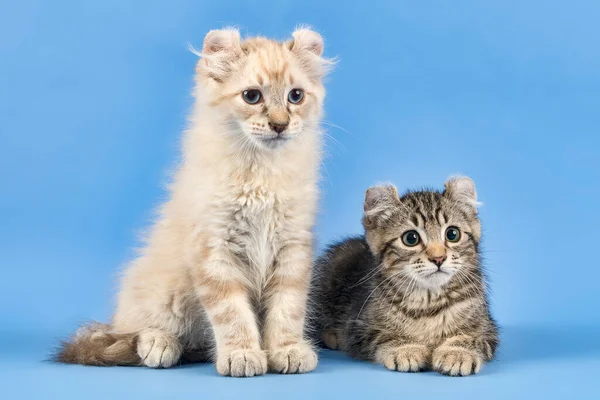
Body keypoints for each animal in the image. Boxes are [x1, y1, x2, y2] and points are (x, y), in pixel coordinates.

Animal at [55, 26, 332, 376]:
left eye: (295, 96)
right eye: (252, 96)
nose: (280, 125)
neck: (260, 174)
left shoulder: (292, 247)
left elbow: (288, 309)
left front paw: (287, 350)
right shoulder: (214, 249)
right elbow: (232, 314)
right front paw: (242, 354)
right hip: (163, 294)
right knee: (135, 331)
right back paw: (160, 345)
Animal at [312, 177, 500, 376]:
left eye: (452, 234)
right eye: (411, 238)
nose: (438, 258)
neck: (429, 302)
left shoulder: (487, 328)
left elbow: (472, 337)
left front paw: (457, 352)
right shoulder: (358, 328)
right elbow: (383, 335)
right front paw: (406, 349)